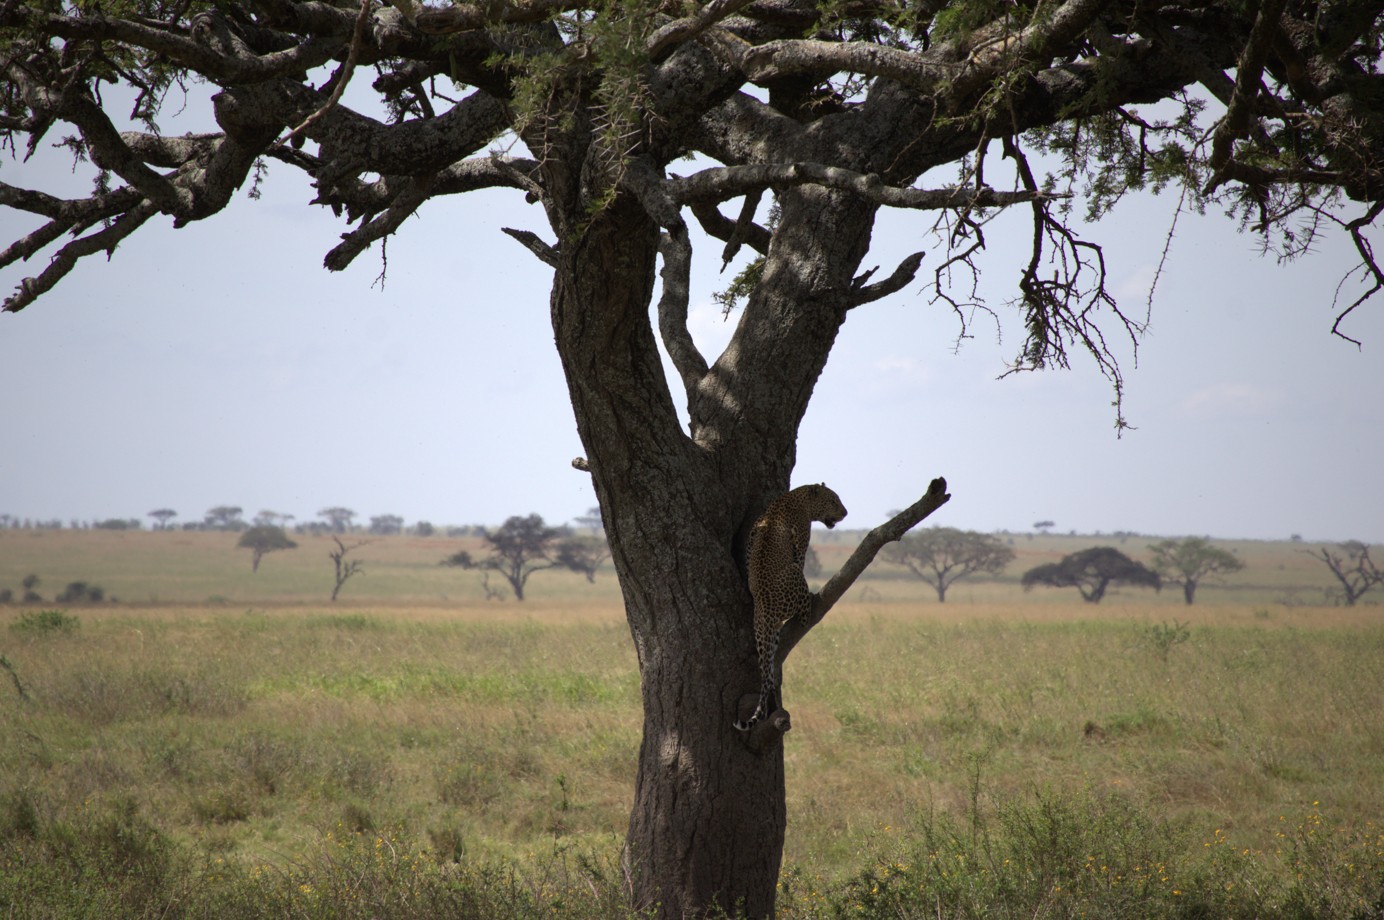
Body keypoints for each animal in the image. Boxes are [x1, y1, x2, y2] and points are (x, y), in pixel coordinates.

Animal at [734, 483, 847, 732]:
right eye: (833, 501)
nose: (845, 513)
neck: (799, 497)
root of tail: (764, 607)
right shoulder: (801, 545)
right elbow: (801, 560)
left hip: (765, 631)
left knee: (768, 666)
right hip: (794, 575)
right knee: (803, 612)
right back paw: (811, 601)